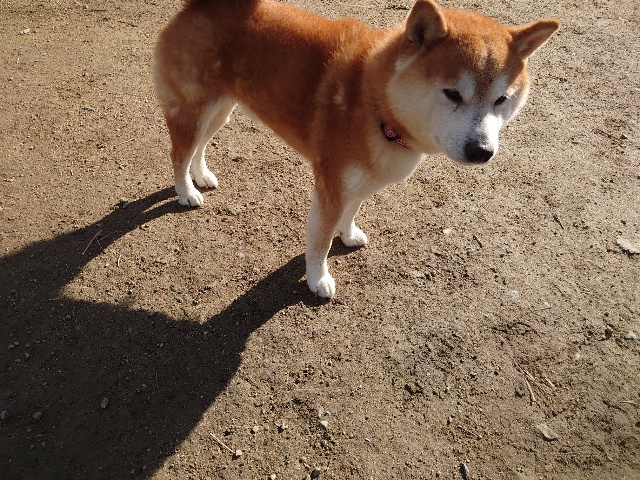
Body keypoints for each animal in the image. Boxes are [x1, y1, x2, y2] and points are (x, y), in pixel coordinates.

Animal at [153, 0, 560, 298]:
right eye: (452, 93)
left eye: (502, 99)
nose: (481, 151)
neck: (376, 103)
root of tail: (195, 6)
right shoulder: (331, 186)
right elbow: (319, 242)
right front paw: (318, 279)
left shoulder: (364, 178)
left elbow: (351, 212)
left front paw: (347, 235)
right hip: (194, 110)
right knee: (178, 154)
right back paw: (186, 192)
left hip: (221, 109)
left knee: (199, 146)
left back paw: (202, 176)